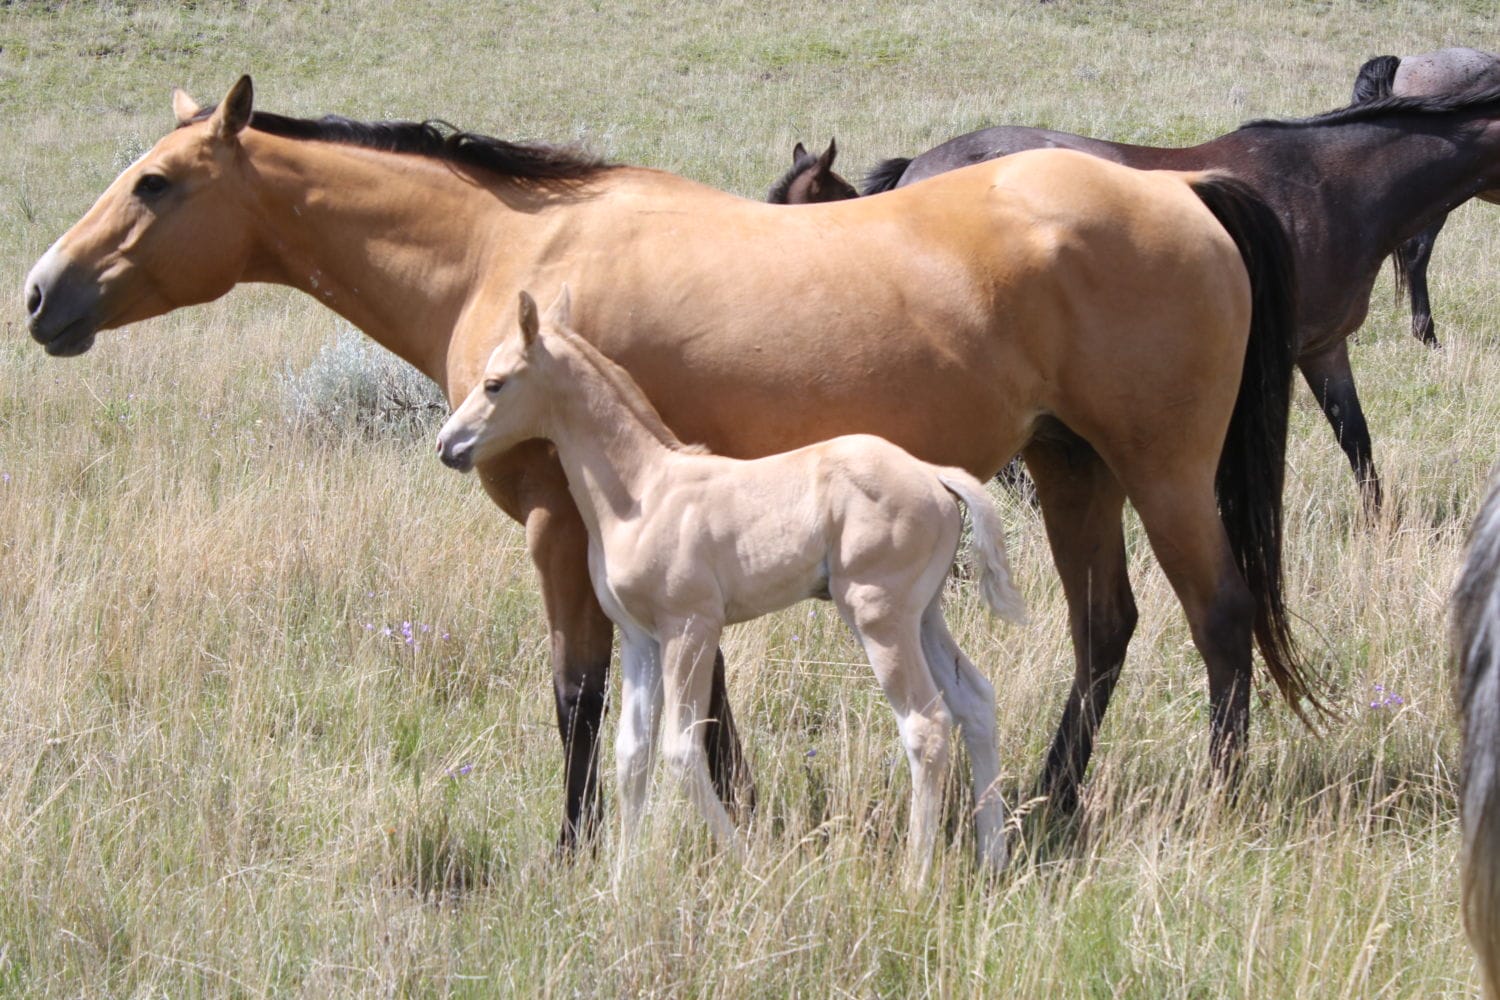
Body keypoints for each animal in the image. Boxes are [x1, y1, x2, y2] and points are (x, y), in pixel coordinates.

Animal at [437, 288, 1027, 883]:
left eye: (495, 383)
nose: (448, 445)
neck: (642, 492)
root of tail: (933, 474)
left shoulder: (691, 627)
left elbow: (680, 749)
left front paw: (748, 865)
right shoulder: (640, 638)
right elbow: (632, 752)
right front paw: (622, 879)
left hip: (878, 615)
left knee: (925, 724)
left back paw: (915, 877)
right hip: (922, 613)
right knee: (975, 701)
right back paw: (993, 859)